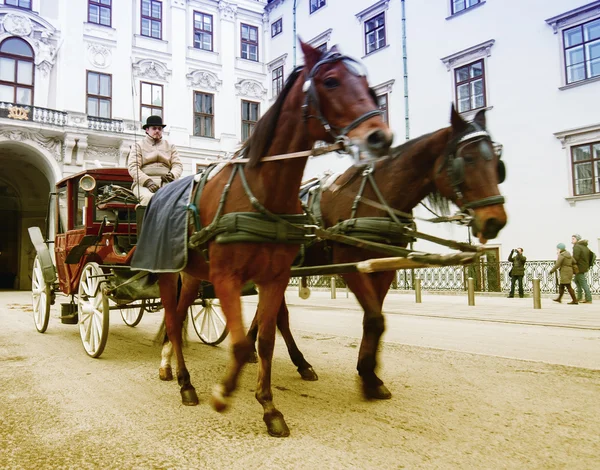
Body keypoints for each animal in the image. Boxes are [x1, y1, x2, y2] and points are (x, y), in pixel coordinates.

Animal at [154, 42, 394, 438]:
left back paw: (174, 368)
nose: (380, 137)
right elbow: (239, 343)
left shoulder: (275, 277)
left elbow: (266, 340)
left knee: (179, 315)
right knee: (173, 322)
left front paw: (268, 406)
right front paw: (224, 391)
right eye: (331, 81)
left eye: (369, 87)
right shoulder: (227, 278)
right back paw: (185, 382)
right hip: (166, 272)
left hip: (191, 274)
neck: (265, 190)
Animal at [247, 105, 506, 400]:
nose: (495, 221)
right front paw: (369, 378)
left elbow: (375, 320)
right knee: (278, 316)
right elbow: (373, 318)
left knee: (270, 312)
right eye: (468, 159)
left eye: (498, 165)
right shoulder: (350, 264)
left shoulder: (384, 268)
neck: (374, 196)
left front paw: (369, 373)